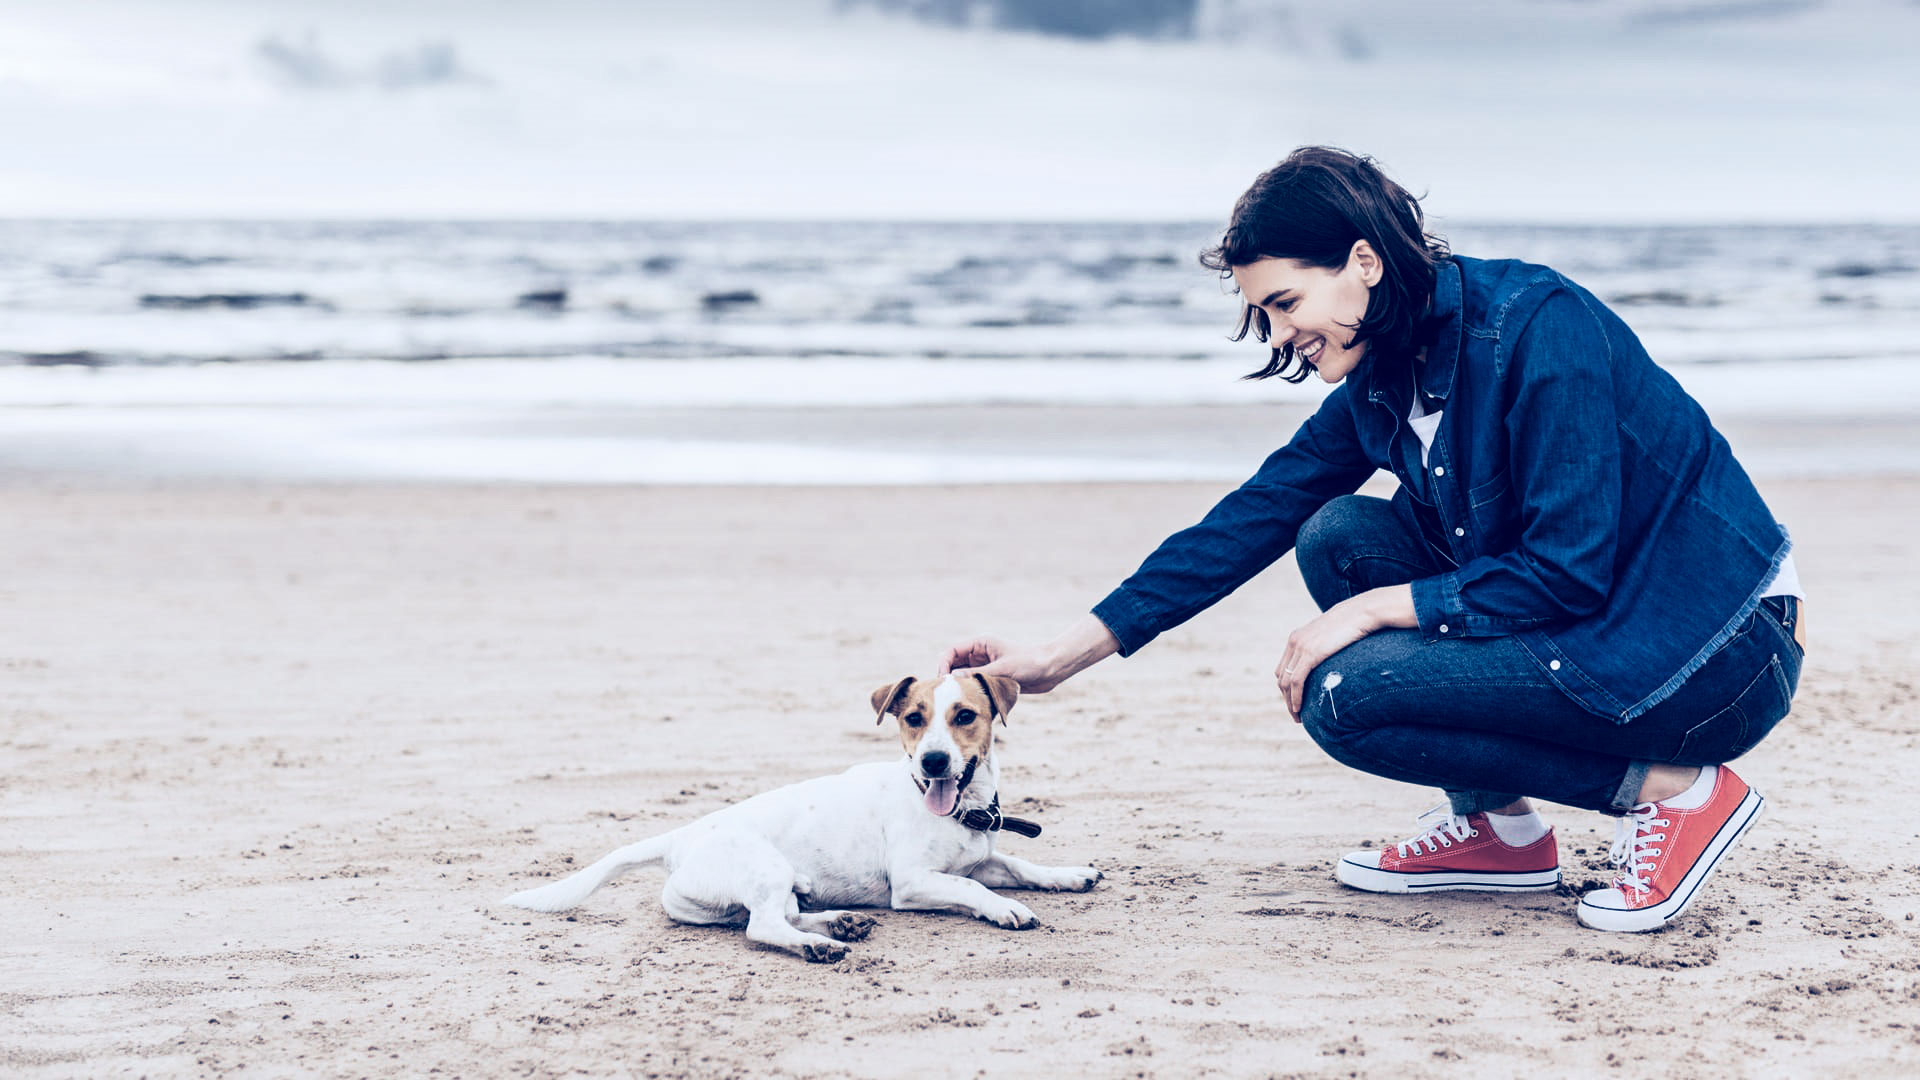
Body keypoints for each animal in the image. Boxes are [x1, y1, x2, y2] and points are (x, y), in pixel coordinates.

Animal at [503, 672, 1105, 957]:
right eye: (913, 718)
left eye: (965, 716)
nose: (933, 761)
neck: (960, 811)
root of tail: (682, 839)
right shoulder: (914, 883)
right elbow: (975, 889)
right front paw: (1006, 909)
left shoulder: (982, 858)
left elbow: (1022, 866)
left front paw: (1069, 875)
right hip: (767, 869)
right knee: (763, 926)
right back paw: (822, 944)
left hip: (778, 885)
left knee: (770, 916)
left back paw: (839, 923)